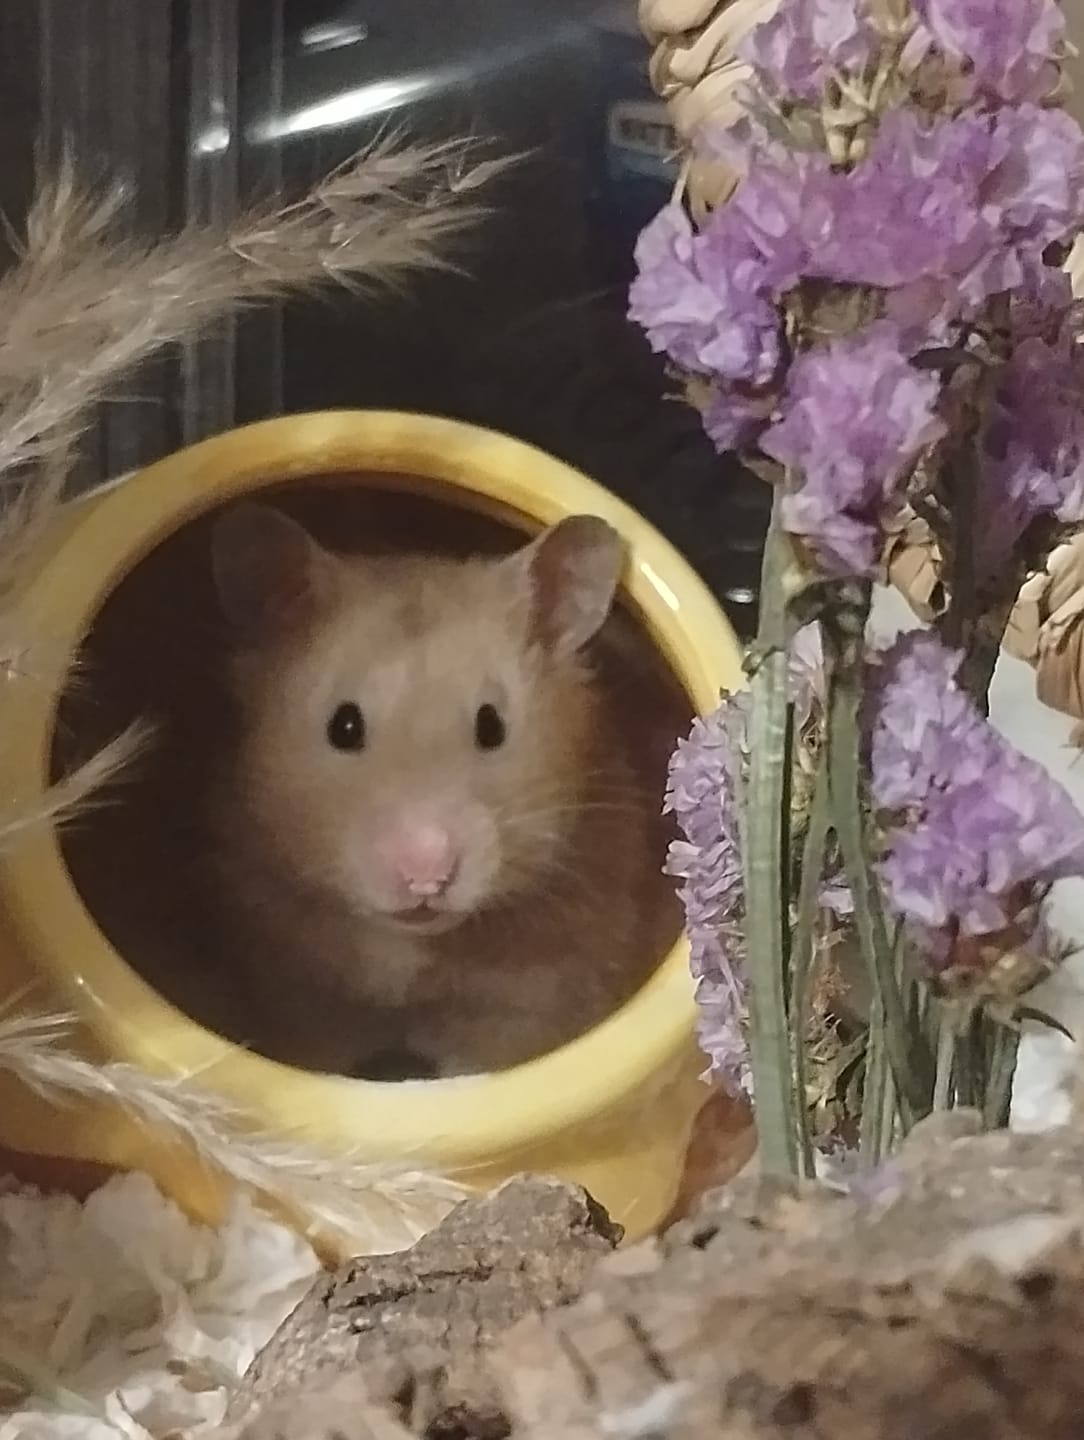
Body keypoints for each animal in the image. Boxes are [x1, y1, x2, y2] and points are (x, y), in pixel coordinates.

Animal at [205, 501, 678, 1077]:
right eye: (344, 726)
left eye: (492, 726)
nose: (426, 874)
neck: (414, 950)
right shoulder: (295, 991)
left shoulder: (528, 1009)